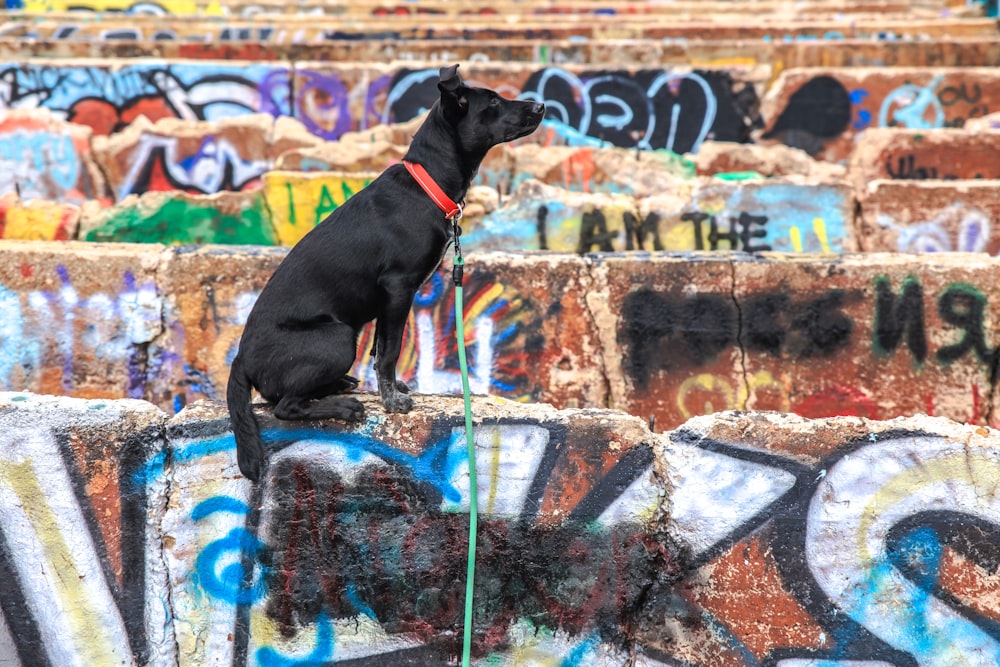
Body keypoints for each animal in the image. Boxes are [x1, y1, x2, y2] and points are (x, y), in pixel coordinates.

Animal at [226, 65, 544, 482]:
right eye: (492, 101)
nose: (541, 105)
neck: (428, 185)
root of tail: (241, 360)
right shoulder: (399, 287)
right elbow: (390, 351)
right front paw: (392, 401)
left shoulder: (385, 301)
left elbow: (380, 352)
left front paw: (390, 391)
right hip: (338, 336)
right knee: (284, 405)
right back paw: (342, 405)